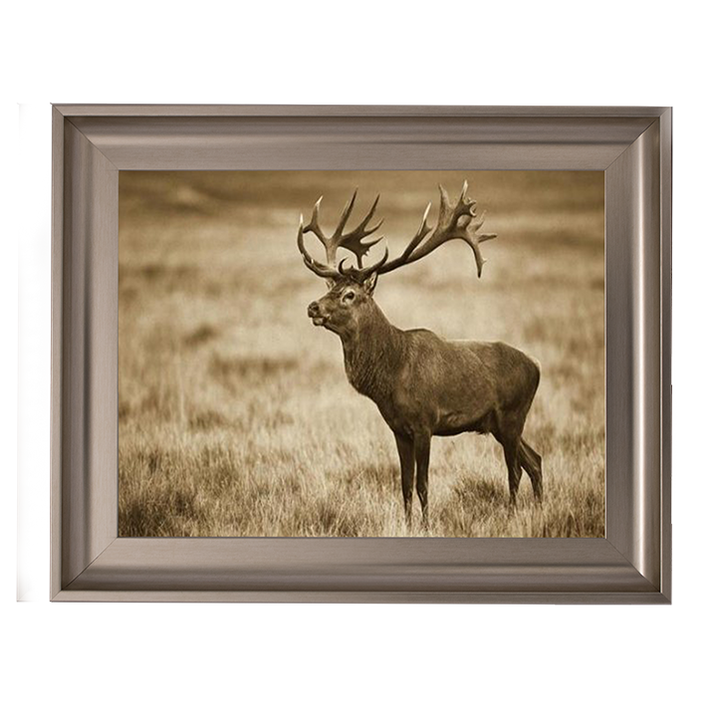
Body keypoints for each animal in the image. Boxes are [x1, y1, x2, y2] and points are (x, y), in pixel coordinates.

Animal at [297, 182, 543, 529]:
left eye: (350, 294)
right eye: (328, 288)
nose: (313, 307)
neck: (390, 376)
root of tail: (537, 367)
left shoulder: (425, 422)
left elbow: (423, 483)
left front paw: (425, 526)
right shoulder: (398, 429)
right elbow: (404, 484)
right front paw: (407, 523)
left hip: (512, 415)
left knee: (515, 470)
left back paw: (512, 515)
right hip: (499, 423)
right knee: (535, 460)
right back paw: (540, 509)